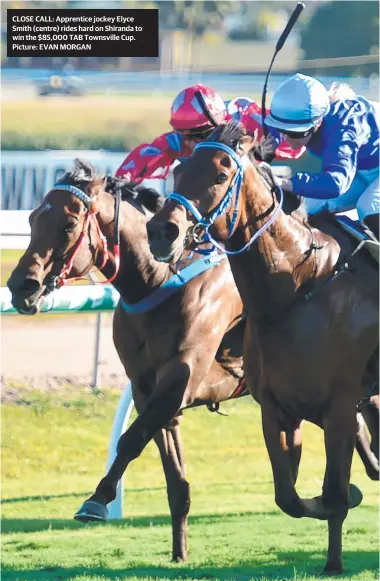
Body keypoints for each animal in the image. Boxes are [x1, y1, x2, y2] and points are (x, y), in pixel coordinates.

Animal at [6, 159, 249, 560]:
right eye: (31, 219)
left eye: (69, 224)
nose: (20, 286)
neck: (161, 279)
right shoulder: (147, 388)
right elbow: (174, 480)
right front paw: (179, 555)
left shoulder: (180, 380)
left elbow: (131, 439)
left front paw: (97, 500)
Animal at [147, 123, 378, 576]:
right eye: (179, 170)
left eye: (221, 174)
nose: (162, 231)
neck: (298, 287)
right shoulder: (275, 408)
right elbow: (289, 497)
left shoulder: (341, 405)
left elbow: (335, 490)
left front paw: (335, 558)